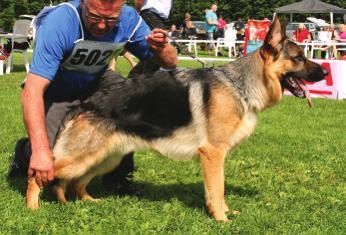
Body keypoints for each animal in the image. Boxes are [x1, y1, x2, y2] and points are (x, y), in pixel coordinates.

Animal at [27, 17, 328, 221]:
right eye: (298, 58)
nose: (325, 72)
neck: (239, 85)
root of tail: (84, 104)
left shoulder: (216, 157)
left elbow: (217, 190)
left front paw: (224, 213)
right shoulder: (212, 154)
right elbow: (217, 190)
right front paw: (222, 219)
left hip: (104, 157)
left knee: (76, 183)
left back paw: (89, 202)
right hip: (81, 157)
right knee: (42, 172)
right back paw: (32, 207)